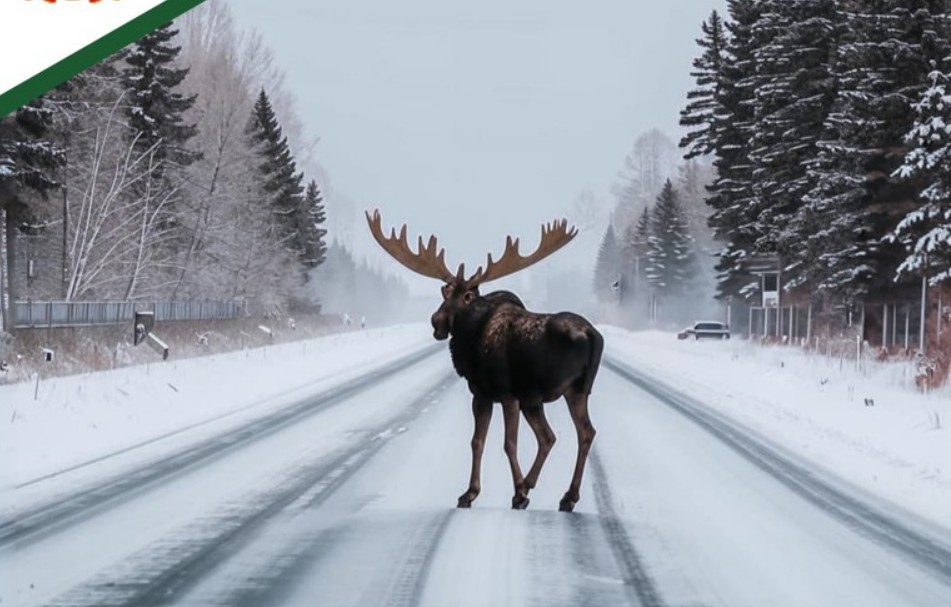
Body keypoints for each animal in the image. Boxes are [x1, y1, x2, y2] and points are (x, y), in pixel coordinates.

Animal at [366, 210, 604, 512]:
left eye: (467, 295)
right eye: (445, 292)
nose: (436, 321)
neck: (471, 338)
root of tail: (593, 336)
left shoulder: (504, 393)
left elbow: (508, 443)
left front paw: (517, 494)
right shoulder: (483, 394)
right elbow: (477, 441)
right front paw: (469, 493)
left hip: (544, 394)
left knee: (554, 436)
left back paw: (532, 488)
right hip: (573, 392)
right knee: (577, 433)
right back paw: (566, 496)